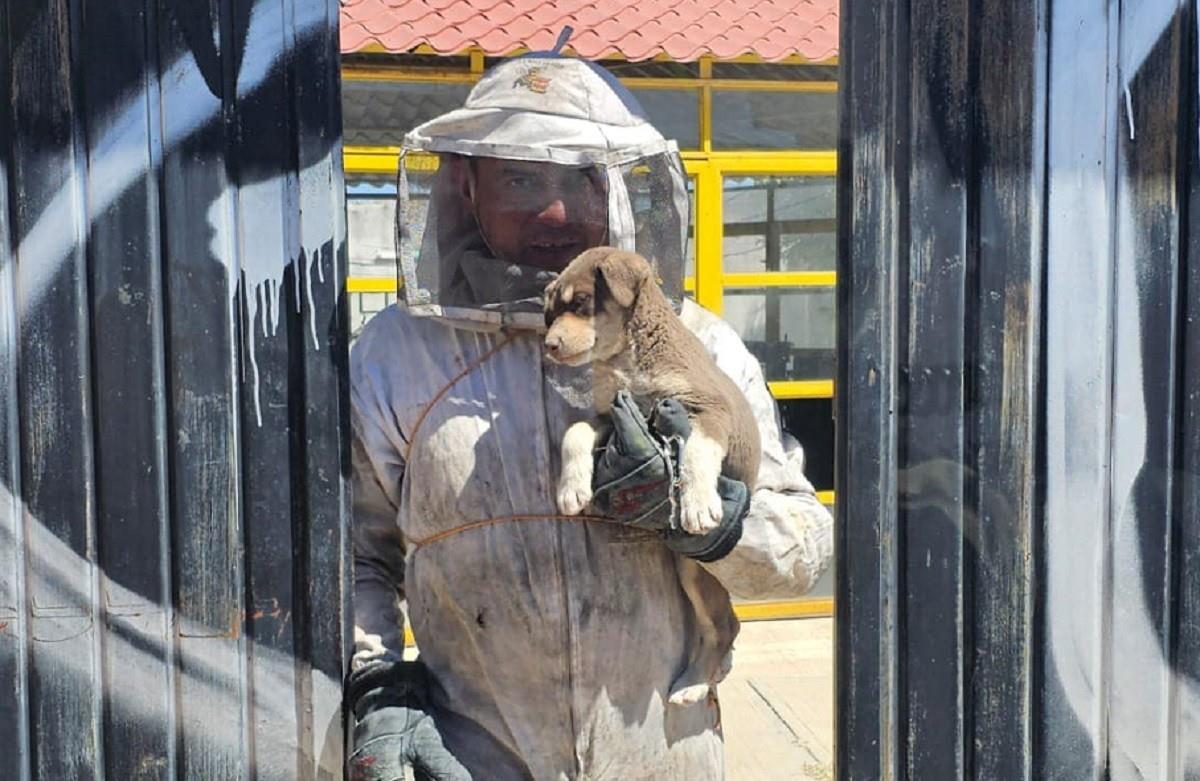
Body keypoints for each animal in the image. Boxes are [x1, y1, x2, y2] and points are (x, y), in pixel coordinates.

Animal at [544, 247, 758, 705]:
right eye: (550, 313)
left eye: (582, 302)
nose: (548, 345)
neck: (629, 360)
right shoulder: (611, 415)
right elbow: (574, 432)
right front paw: (571, 489)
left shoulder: (708, 411)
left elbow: (696, 450)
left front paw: (698, 505)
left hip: (697, 571)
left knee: (724, 626)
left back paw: (693, 686)